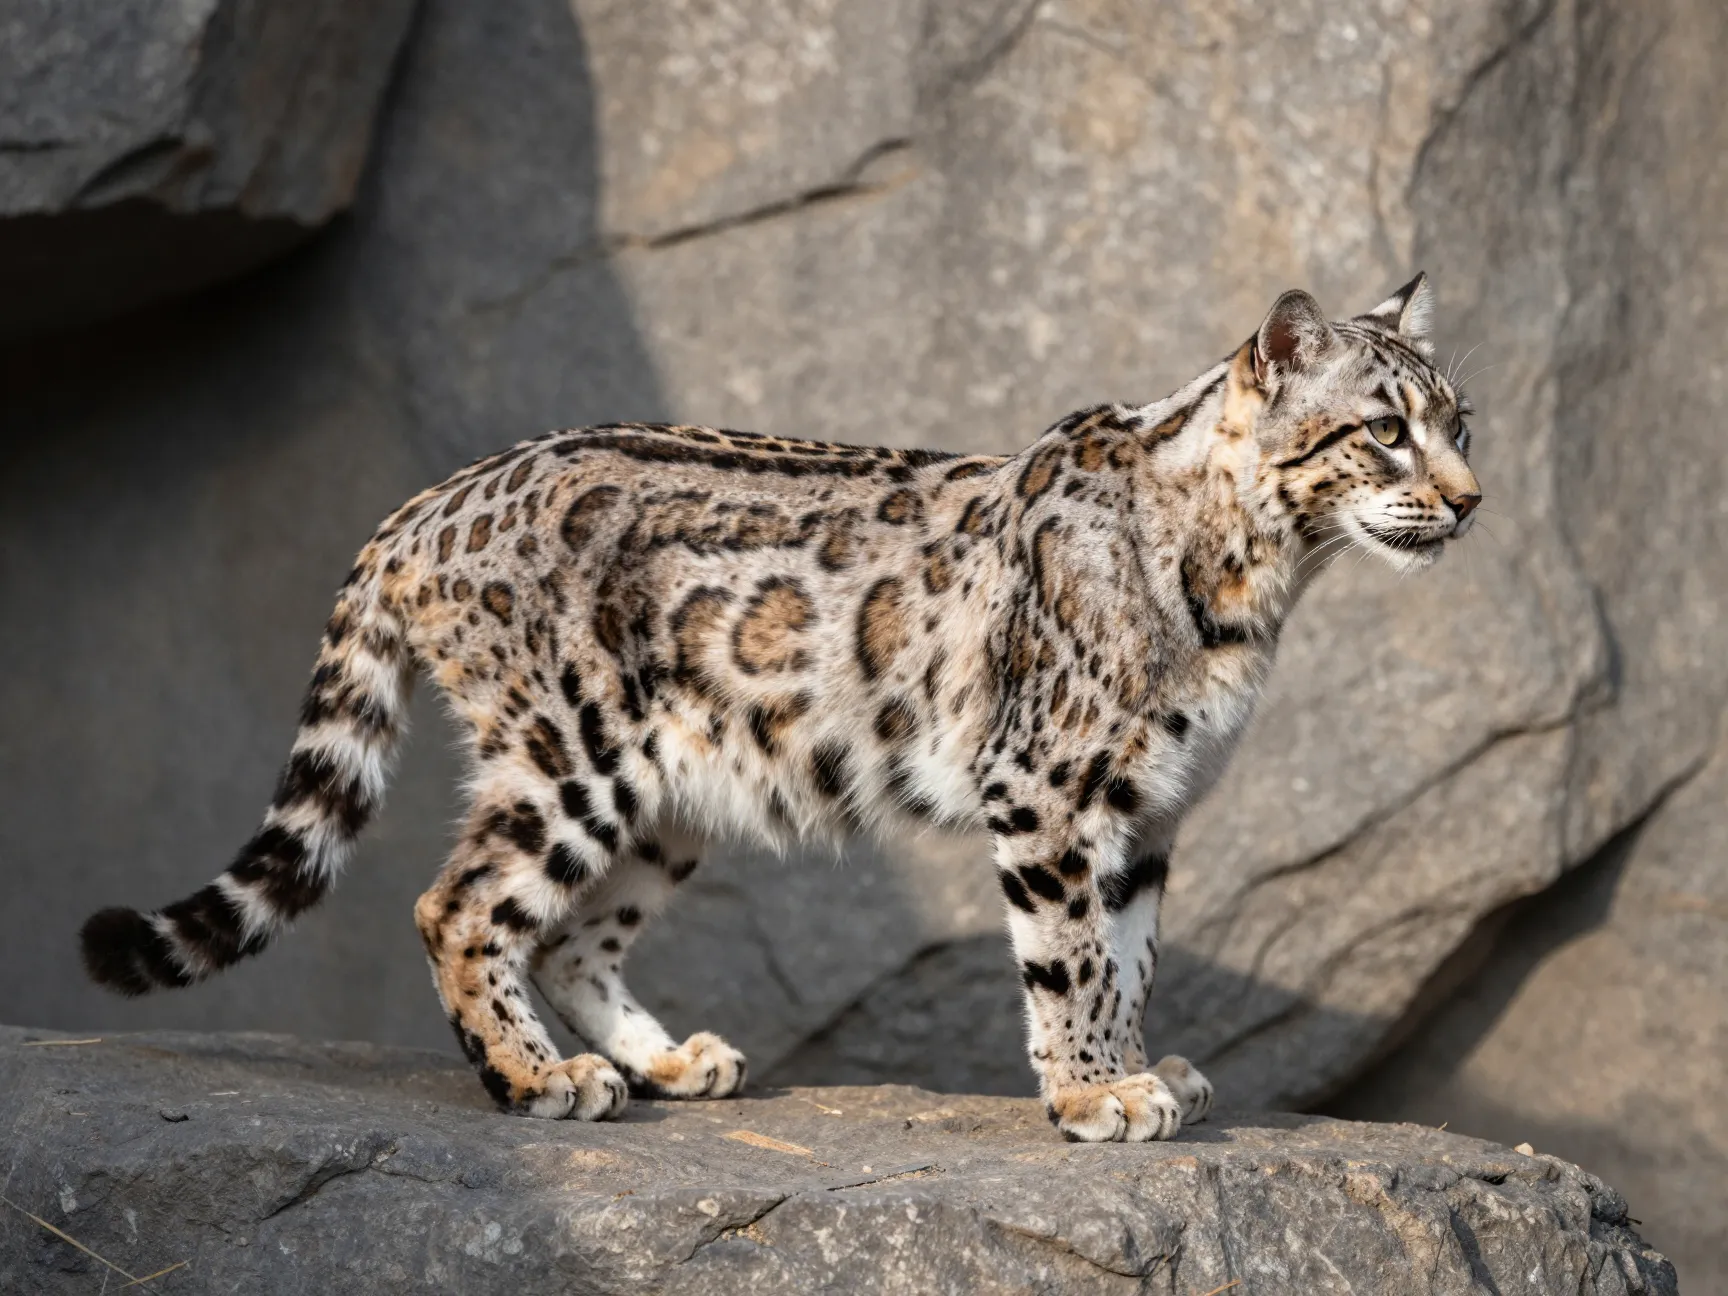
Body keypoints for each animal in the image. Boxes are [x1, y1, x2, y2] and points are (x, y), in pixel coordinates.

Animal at [80, 276, 1480, 1142]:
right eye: (1383, 429)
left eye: (1459, 417)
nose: (1470, 502)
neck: (1251, 591)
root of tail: (432, 498)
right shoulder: (1051, 790)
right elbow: (1072, 953)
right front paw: (1095, 1097)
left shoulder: (1148, 811)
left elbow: (1128, 954)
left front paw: (1140, 1069)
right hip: (566, 755)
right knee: (463, 906)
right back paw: (542, 1078)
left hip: (666, 801)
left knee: (574, 935)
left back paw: (664, 1061)